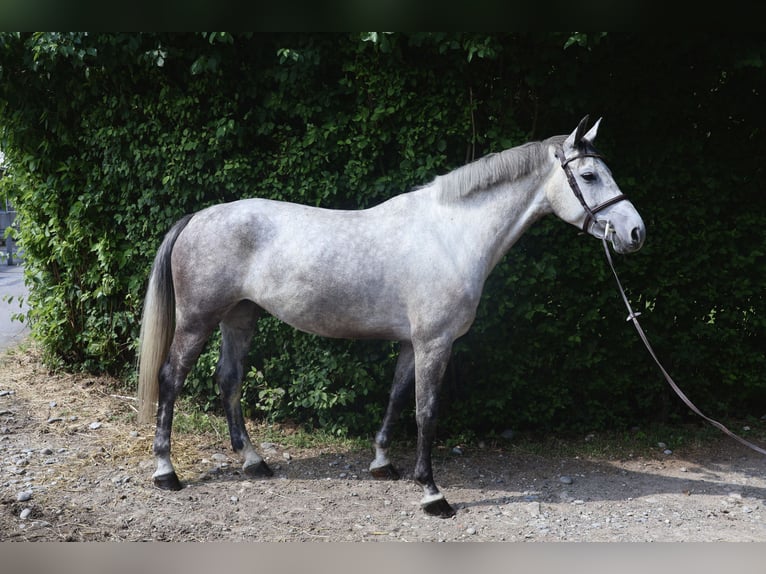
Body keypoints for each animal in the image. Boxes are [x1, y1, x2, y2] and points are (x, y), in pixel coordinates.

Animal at [137, 116, 646, 518]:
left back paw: (253, 461)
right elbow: (426, 411)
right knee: (171, 378)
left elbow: (398, 396)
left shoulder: (411, 342)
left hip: (240, 318)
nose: (635, 232)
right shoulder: (435, 342)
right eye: (588, 175)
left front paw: (383, 463)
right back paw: (166, 471)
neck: (450, 234)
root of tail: (198, 217)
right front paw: (432, 494)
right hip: (197, 321)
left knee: (230, 379)